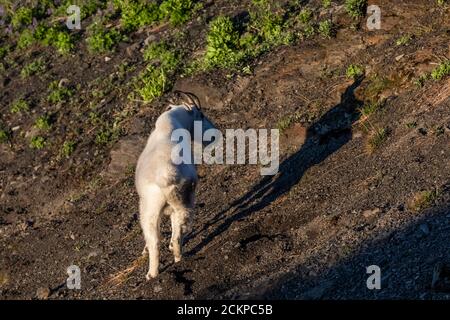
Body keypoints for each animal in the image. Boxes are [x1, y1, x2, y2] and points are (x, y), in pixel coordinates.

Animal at [135, 90, 216, 280]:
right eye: (200, 115)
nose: (214, 135)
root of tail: (166, 176)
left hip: (151, 209)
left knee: (156, 240)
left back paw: (153, 273)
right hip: (181, 203)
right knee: (176, 233)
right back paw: (177, 257)